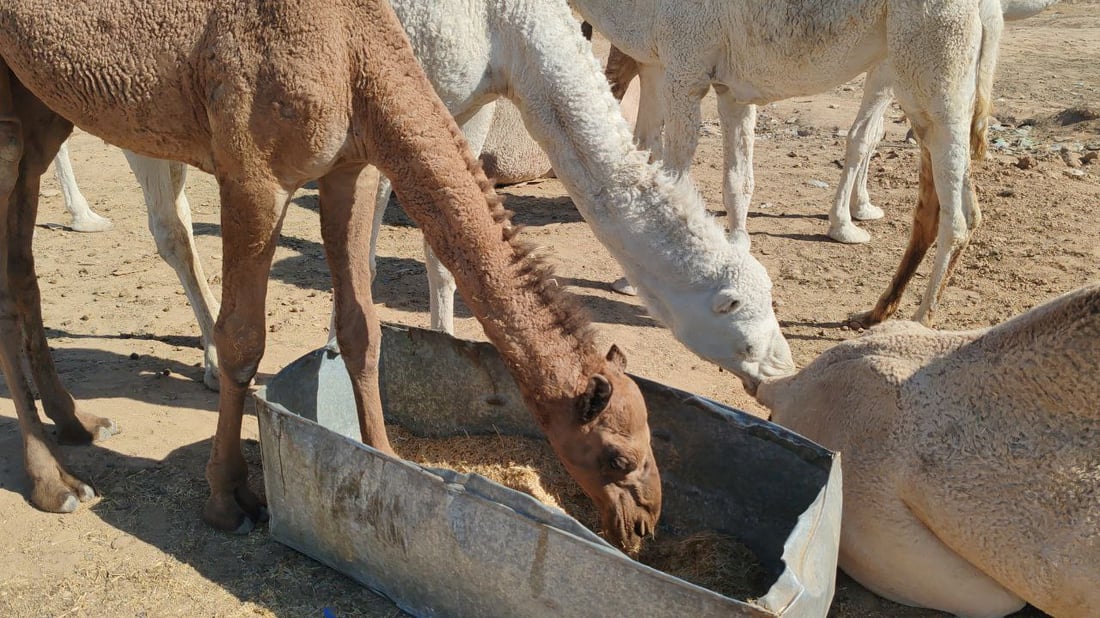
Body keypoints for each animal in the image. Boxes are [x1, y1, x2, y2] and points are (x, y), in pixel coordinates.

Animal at [53, 0, 792, 391]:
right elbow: (369, 249)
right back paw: (210, 355)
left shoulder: (467, 101)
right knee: (171, 228)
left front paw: (446, 340)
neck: (506, 24)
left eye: (770, 298)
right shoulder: (386, 100)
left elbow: (445, 243)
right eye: (738, 313)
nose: (781, 366)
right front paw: (333, 358)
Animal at [576, 0, 1007, 327]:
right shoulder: (729, 87)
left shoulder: (685, 72)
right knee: (950, 204)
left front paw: (633, 280)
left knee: (958, 217)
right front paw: (737, 258)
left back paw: (917, 324)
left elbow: (676, 179)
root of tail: (986, 8)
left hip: (936, 65)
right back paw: (873, 314)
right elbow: (738, 180)